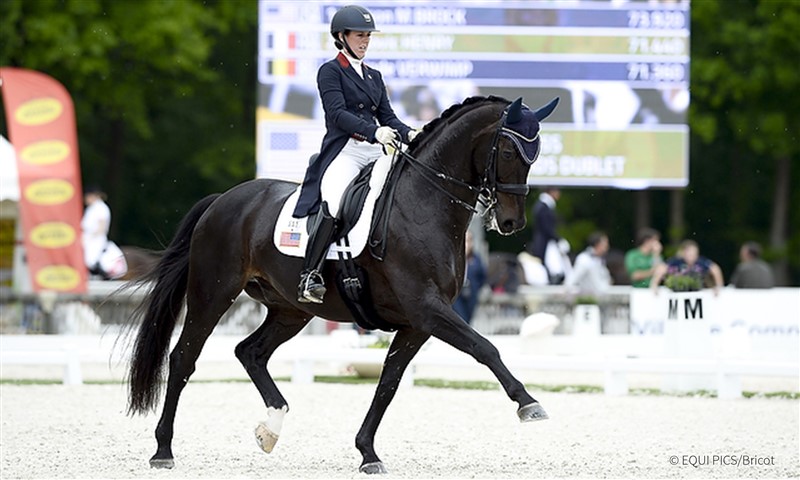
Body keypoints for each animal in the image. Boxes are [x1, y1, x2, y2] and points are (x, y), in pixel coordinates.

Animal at [128, 94, 560, 472]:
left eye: (535, 155)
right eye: (509, 152)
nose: (511, 222)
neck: (424, 202)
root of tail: (221, 200)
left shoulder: (417, 323)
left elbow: (388, 382)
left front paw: (367, 452)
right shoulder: (427, 308)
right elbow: (485, 348)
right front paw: (528, 403)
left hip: (291, 310)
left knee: (250, 352)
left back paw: (271, 428)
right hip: (213, 294)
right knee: (183, 358)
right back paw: (163, 450)